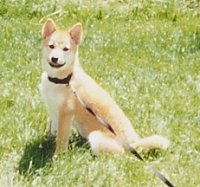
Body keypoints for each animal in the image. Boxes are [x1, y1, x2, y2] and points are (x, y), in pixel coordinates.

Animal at [38, 18, 169, 155]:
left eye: (65, 49)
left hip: (96, 137)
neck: (63, 80)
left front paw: (57, 155)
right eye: (51, 46)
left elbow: (61, 139)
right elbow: (53, 130)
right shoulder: (54, 110)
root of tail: (134, 144)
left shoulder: (66, 114)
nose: (54, 58)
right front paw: (48, 141)